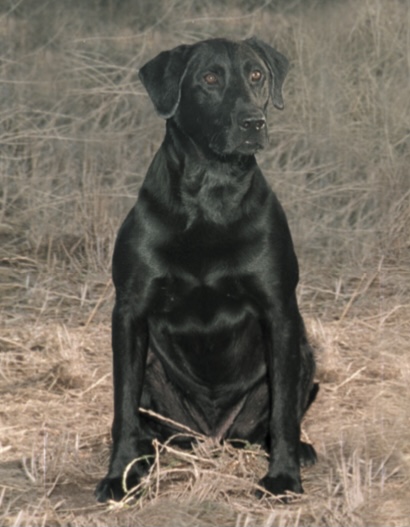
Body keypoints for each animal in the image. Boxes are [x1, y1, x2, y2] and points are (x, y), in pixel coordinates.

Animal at [95, 36, 318, 504]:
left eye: (257, 75)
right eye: (210, 78)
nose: (253, 122)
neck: (212, 195)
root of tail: (212, 436)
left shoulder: (280, 311)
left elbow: (284, 414)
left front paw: (283, 477)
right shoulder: (129, 314)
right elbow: (123, 409)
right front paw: (121, 474)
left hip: (305, 352)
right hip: (154, 373)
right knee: (146, 424)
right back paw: (146, 453)